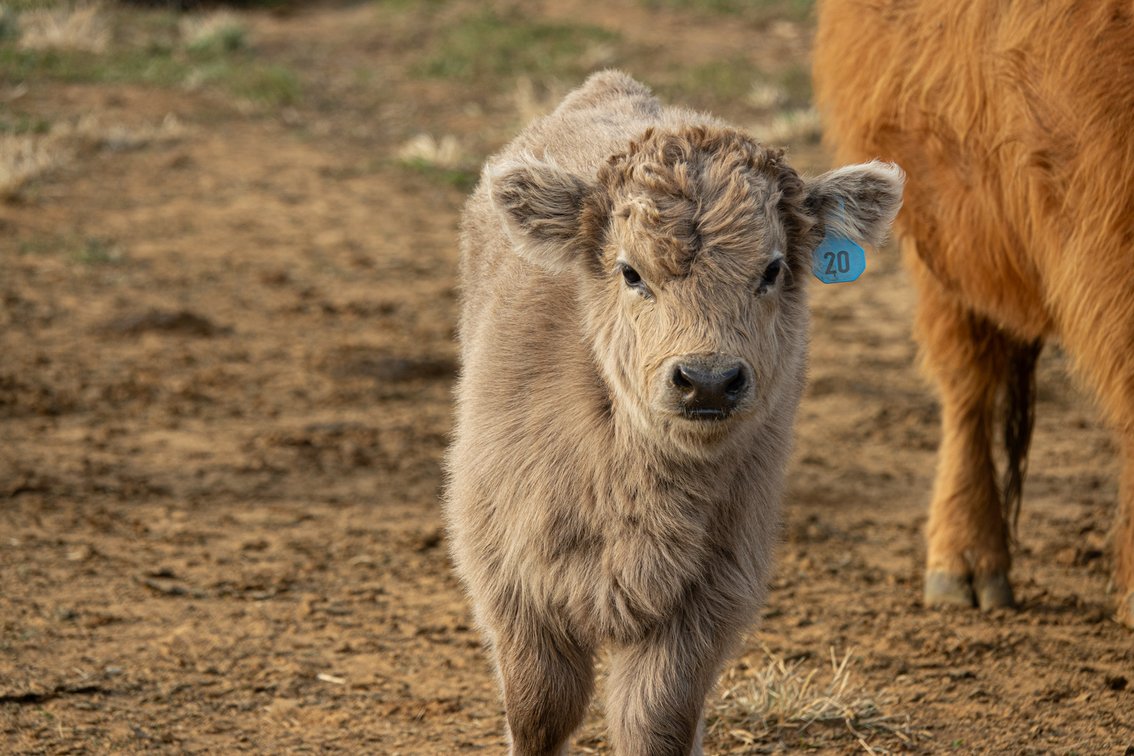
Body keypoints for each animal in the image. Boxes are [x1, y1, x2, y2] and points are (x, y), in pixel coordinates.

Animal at [444, 70, 903, 755]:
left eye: (772, 269)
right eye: (630, 272)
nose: (708, 381)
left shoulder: (711, 594)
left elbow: (656, 718)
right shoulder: (509, 580)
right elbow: (539, 710)